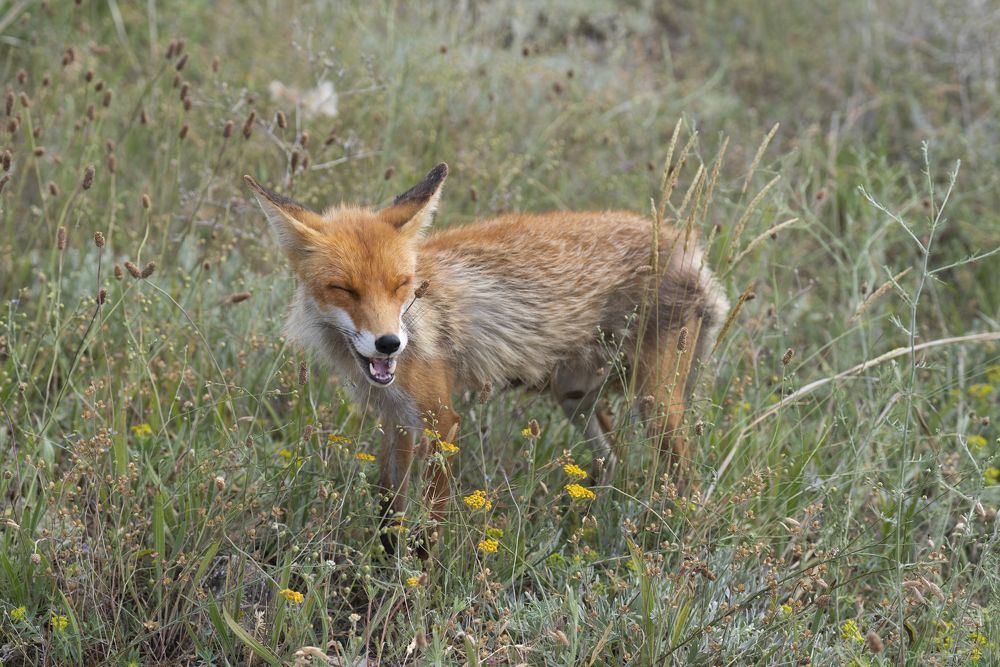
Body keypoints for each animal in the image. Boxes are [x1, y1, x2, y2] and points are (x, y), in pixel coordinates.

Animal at [244, 163, 729, 545]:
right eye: (344, 289)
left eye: (400, 284)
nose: (389, 343)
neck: (419, 315)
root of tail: (683, 244)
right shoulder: (395, 419)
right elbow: (388, 510)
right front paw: (382, 569)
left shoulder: (441, 422)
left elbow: (430, 523)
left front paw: (415, 588)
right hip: (573, 397)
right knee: (611, 458)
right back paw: (584, 521)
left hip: (655, 407)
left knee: (686, 479)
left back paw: (681, 530)